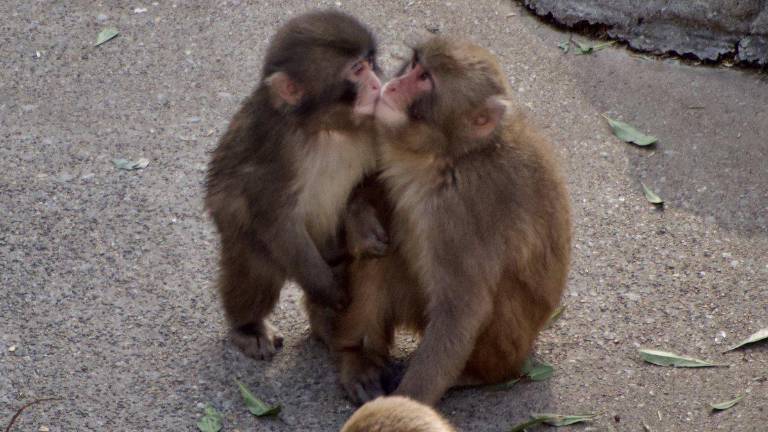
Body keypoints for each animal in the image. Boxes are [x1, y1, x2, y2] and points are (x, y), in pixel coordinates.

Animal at [204, 10, 383, 361]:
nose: (377, 82)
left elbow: (378, 175)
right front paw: (327, 289)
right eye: (357, 69)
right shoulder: (278, 149)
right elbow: (274, 217)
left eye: (370, 61)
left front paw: (360, 222)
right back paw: (248, 326)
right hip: (259, 246)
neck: (327, 128)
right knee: (255, 267)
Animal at [331, 37, 571, 405]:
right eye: (415, 64)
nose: (393, 84)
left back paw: (476, 376)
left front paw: (409, 401)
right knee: (378, 259)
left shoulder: (467, 207)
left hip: (507, 345)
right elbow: (376, 190)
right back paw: (360, 358)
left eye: (425, 79)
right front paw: (360, 220)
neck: (452, 155)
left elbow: (462, 309)